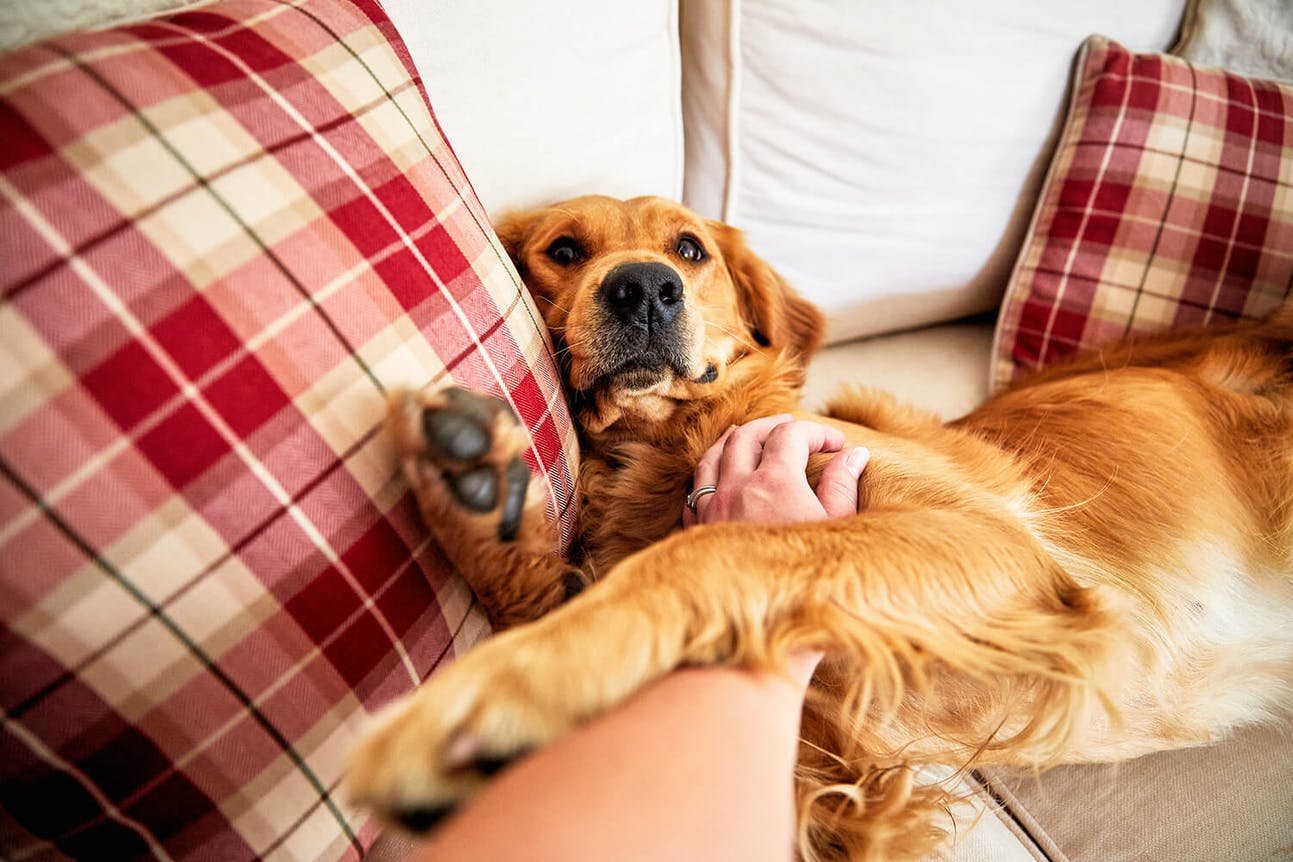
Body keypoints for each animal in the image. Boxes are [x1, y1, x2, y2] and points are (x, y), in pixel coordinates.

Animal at [349, 197, 1293, 862]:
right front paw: (477, 492)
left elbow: (725, 543)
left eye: (688, 249)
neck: (670, 443)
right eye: (565, 251)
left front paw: (523, 682)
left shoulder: (1007, 551)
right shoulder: (839, 778)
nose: (643, 287)